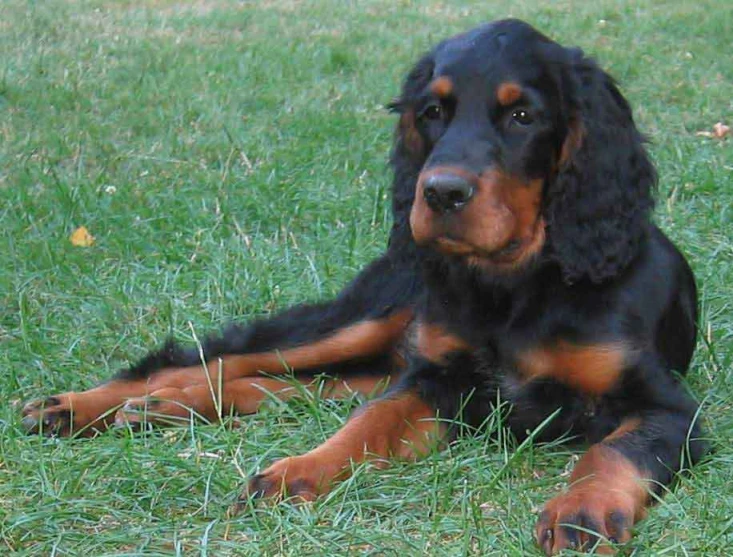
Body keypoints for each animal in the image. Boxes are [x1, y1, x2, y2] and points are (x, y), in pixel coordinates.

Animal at [24, 19, 708, 552]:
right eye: (432, 112)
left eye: (522, 115)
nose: (440, 194)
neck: (515, 286)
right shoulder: (438, 382)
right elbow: (369, 423)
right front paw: (298, 470)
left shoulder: (670, 409)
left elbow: (612, 450)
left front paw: (581, 511)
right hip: (365, 317)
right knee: (213, 360)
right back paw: (82, 407)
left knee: (289, 386)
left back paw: (165, 408)